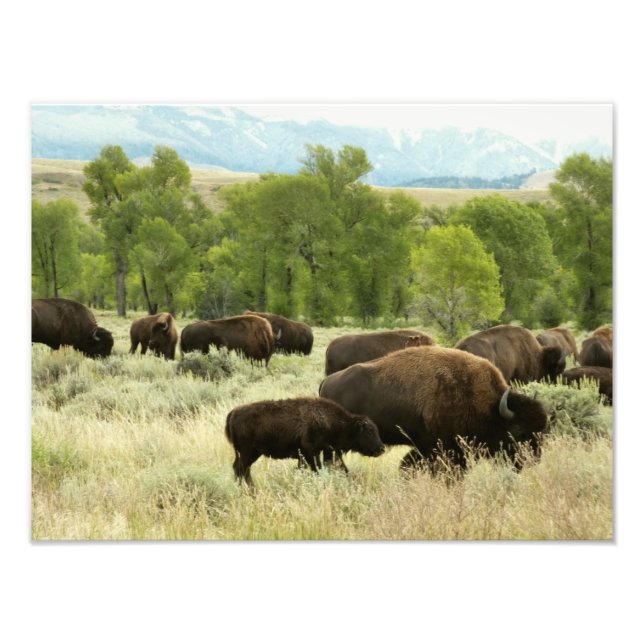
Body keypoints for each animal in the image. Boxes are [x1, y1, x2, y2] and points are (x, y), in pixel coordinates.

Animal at [224, 397, 385, 485]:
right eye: (369, 431)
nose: (381, 448)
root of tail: (233, 413)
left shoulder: (313, 454)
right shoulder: (310, 452)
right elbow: (316, 469)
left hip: (249, 454)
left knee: (241, 469)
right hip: (248, 453)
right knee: (241, 469)